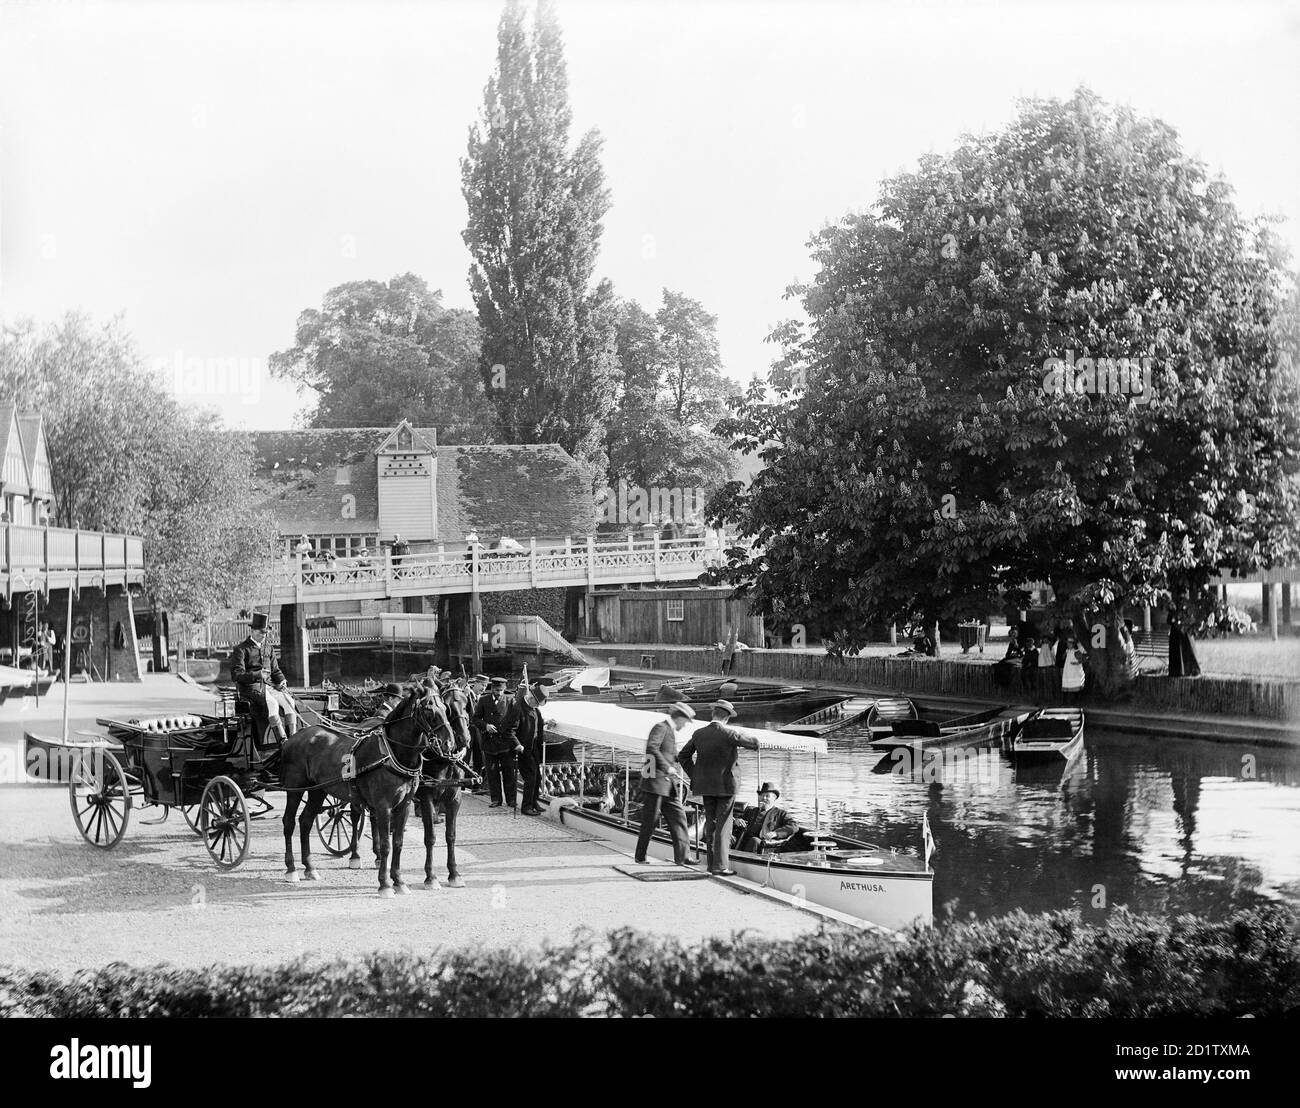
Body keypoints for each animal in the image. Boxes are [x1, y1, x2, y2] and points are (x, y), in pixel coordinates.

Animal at [278, 686, 452, 894]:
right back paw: (291, 869)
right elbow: (385, 845)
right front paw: (385, 884)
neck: (391, 754)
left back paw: (310, 867)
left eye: (445, 708)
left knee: (305, 821)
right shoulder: (384, 806)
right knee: (289, 822)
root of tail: (292, 738)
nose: (449, 743)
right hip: (295, 788)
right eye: (429, 710)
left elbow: (398, 842)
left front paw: (398, 881)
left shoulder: (404, 805)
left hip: (317, 790)